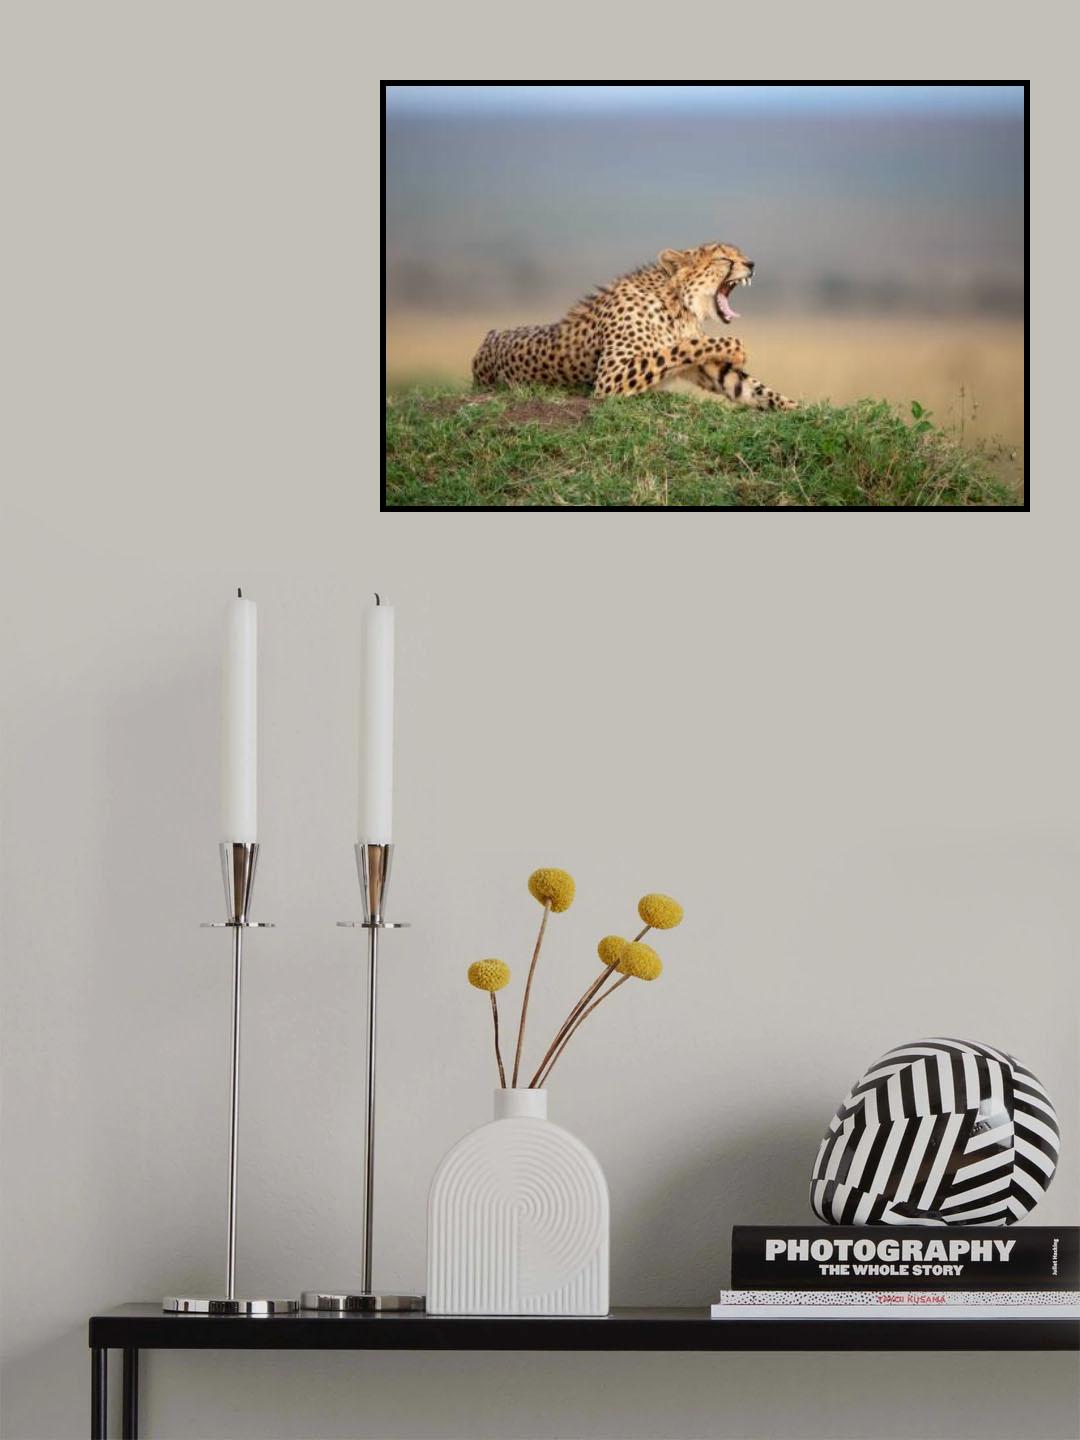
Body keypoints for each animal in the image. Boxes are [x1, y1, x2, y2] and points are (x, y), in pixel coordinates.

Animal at [471, 242, 797, 410]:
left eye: (739, 254)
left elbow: (750, 387)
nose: (752, 264)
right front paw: (738, 348)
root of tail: (489, 336)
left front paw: (798, 410)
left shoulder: (705, 366)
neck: (679, 304)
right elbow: (684, 346)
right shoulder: (610, 378)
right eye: (723, 257)